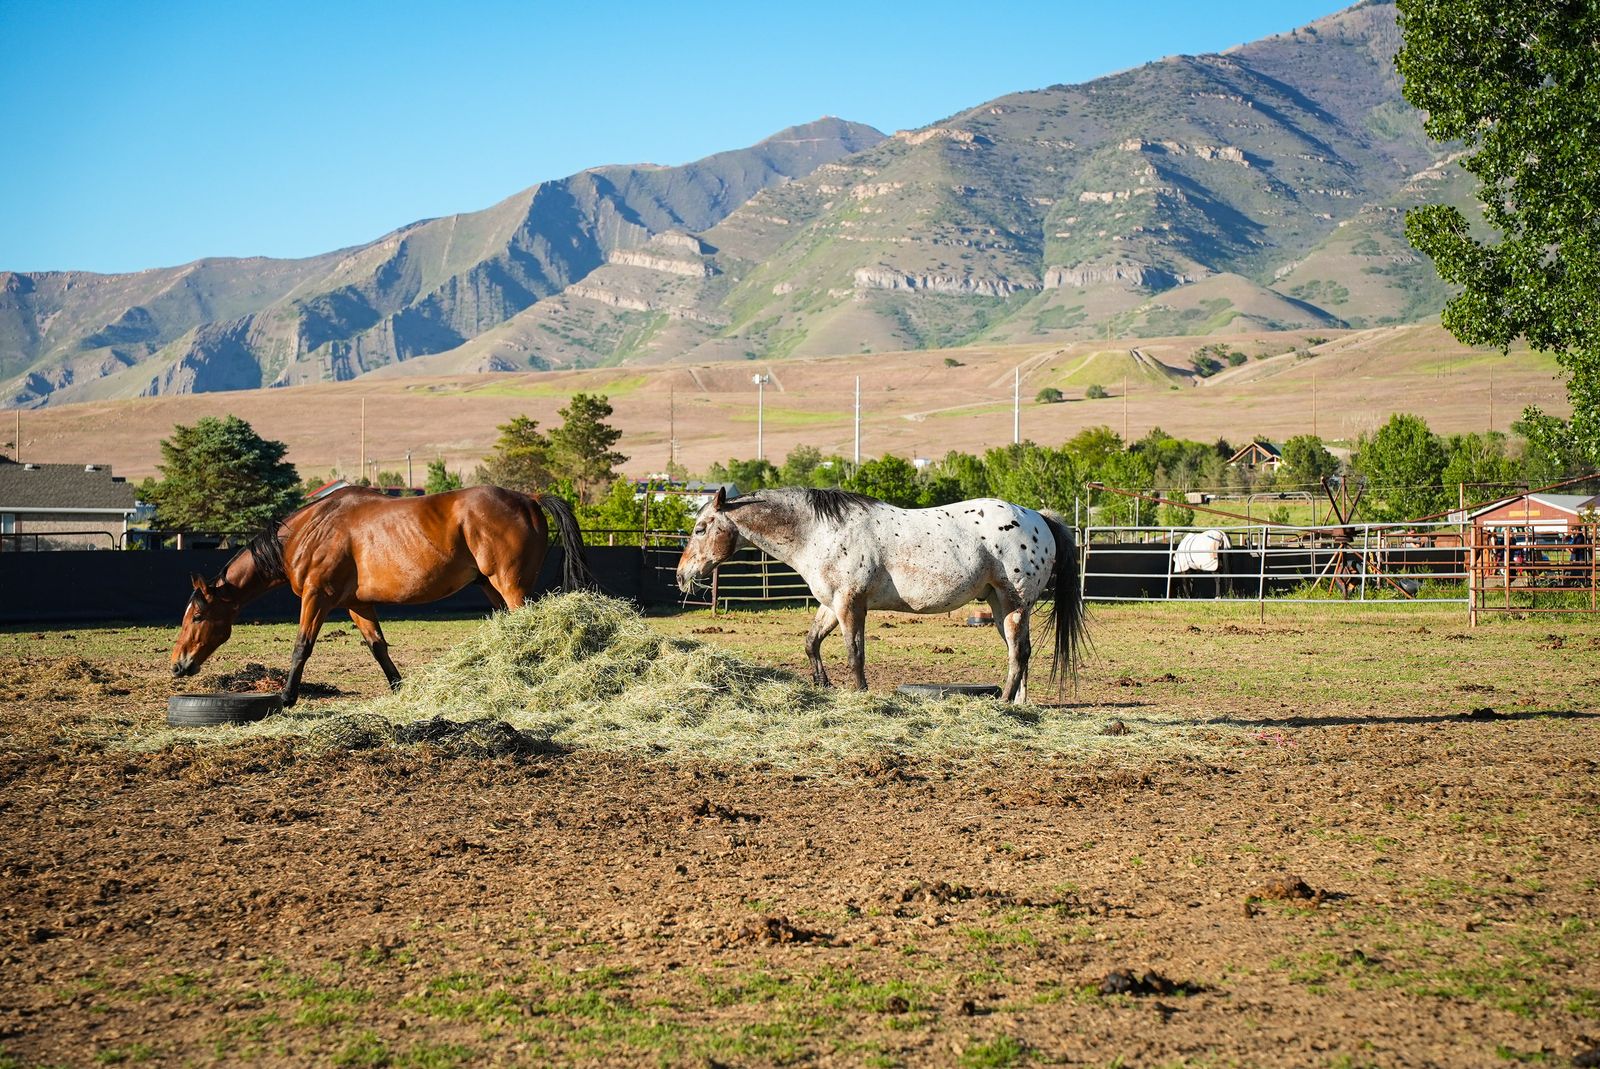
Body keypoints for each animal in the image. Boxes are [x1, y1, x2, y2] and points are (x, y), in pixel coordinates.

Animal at [170, 485, 593, 706]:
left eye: (197, 616)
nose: (178, 666)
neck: (310, 531)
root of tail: (529, 499)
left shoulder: (316, 597)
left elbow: (301, 646)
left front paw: (286, 696)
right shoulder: (356, 604)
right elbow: (378, 646)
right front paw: (399, 689)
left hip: (509, 585)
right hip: (491, 587)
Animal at [675, 487, 1086, 703]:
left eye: (700, 528)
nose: (682, 576)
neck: (819, 532)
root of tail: (1038, 517)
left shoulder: (850, 605)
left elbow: (855, 653)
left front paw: (859, 693)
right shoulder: (831, 604)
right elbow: (811, 643)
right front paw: (823, 685)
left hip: (1014, 603)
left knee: (1019, 653)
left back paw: (1002, 703)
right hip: (999, 606)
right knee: (1021, 652)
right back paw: (1019, 703)